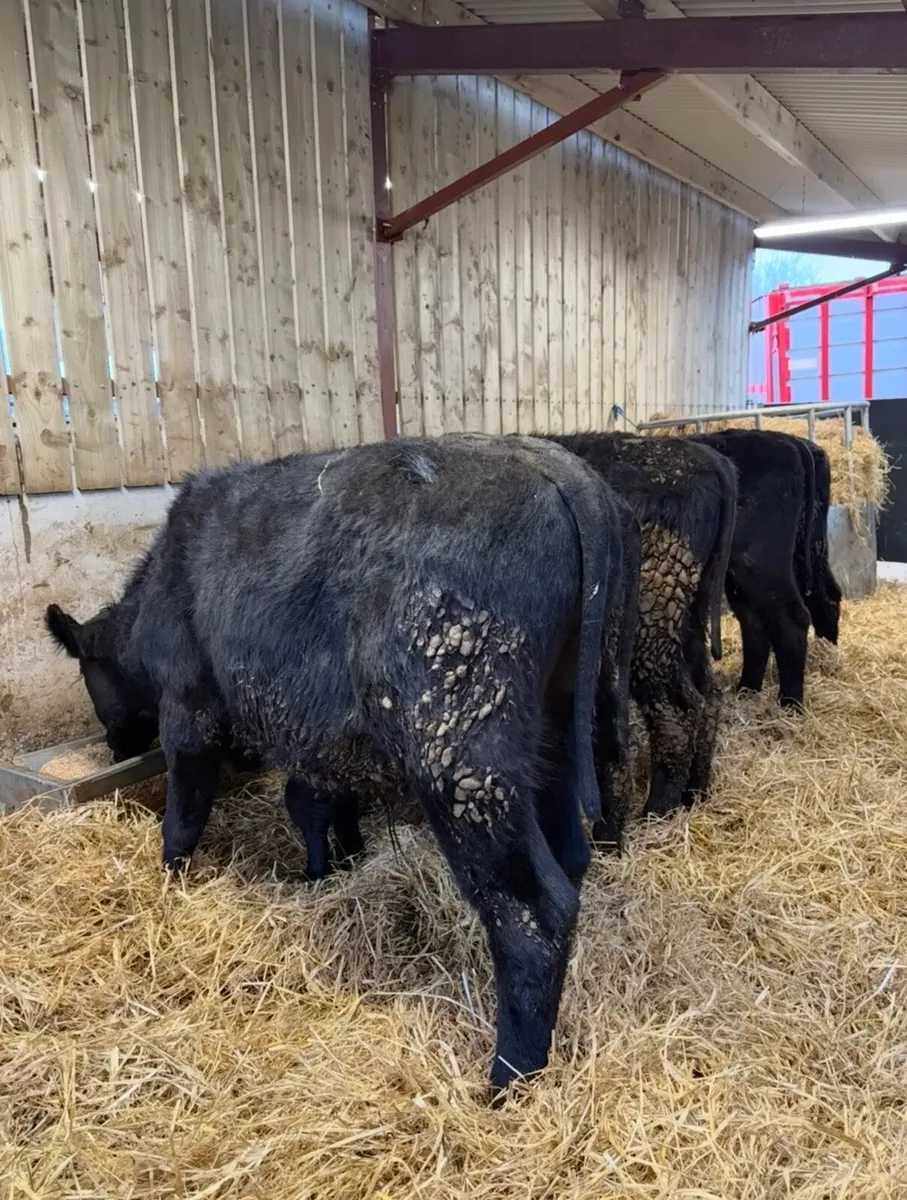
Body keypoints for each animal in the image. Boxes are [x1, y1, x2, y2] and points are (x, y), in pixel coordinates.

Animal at [45, 433, 638, 1093]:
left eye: (88, 673)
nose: (116, 747)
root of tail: (553, 463)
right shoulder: (322, 737)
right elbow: (318, 801)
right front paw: (335, 862)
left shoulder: (190, 707)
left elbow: (186, 810)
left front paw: (170, 877)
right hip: (553, 736)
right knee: (571, 858)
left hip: (461, 757)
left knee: (533, 911)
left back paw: (508, 1077)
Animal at [546, 432, 738, 824]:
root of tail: (712, 460)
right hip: (687, 616)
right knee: (707, 694)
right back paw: (694, 793)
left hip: (651, 622)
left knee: (676, 711)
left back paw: (658, 811)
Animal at [691, 429, 813, 708]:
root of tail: (789, 441)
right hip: (738, 572)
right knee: (754, 621)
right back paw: (747, 689)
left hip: (761, 562)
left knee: (790, 617)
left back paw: (790, 703)